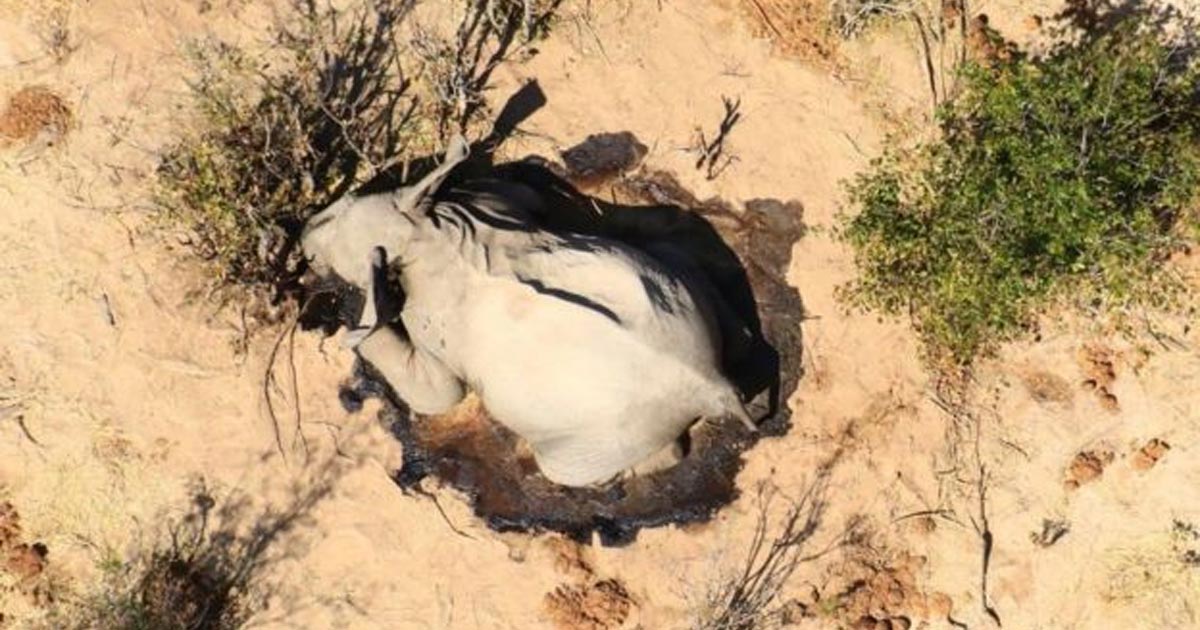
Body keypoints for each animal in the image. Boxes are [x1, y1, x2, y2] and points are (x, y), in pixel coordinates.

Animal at [300, 135, 756, 486]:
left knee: (574, 469)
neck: (419, 237)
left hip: (609, 437)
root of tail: (711, 385)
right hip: (677, 292)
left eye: (331, 224)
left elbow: (439, 396)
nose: (304, 232)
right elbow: (523, 193)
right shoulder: (487, 206)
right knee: (684, 264)